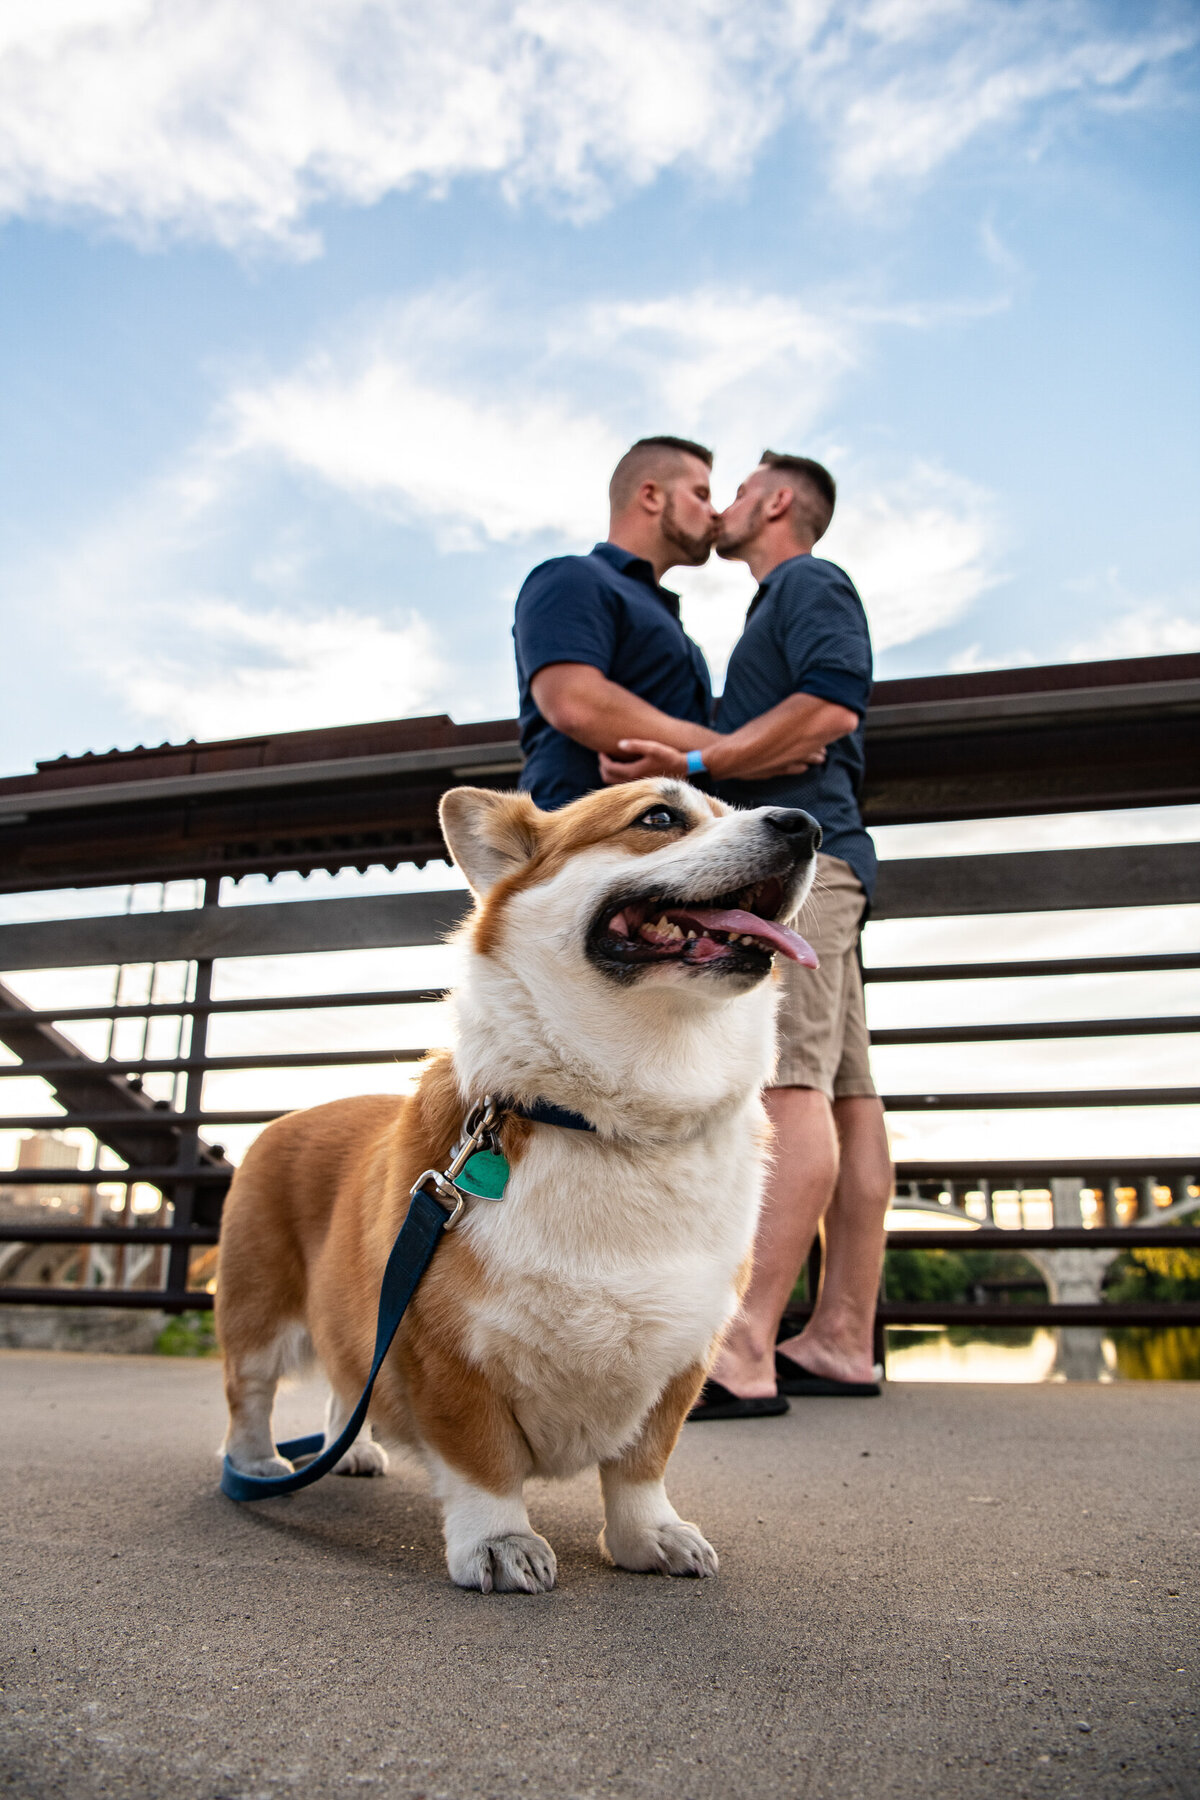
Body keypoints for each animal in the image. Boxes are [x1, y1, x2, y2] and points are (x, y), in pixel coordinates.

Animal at [215, 781, 820, 1598]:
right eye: (660, 817)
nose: (806, 826)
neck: (610, 1124)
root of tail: (288, 1117)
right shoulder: (445, 1348)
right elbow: (484, 1464)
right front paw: (500, 1542)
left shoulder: (682, 1355)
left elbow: (642, 1467)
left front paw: (648, 1538)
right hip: (257, 1313)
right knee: (249, 1394)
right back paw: (257, 1465)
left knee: (348, 1379)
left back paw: (351, 1450)